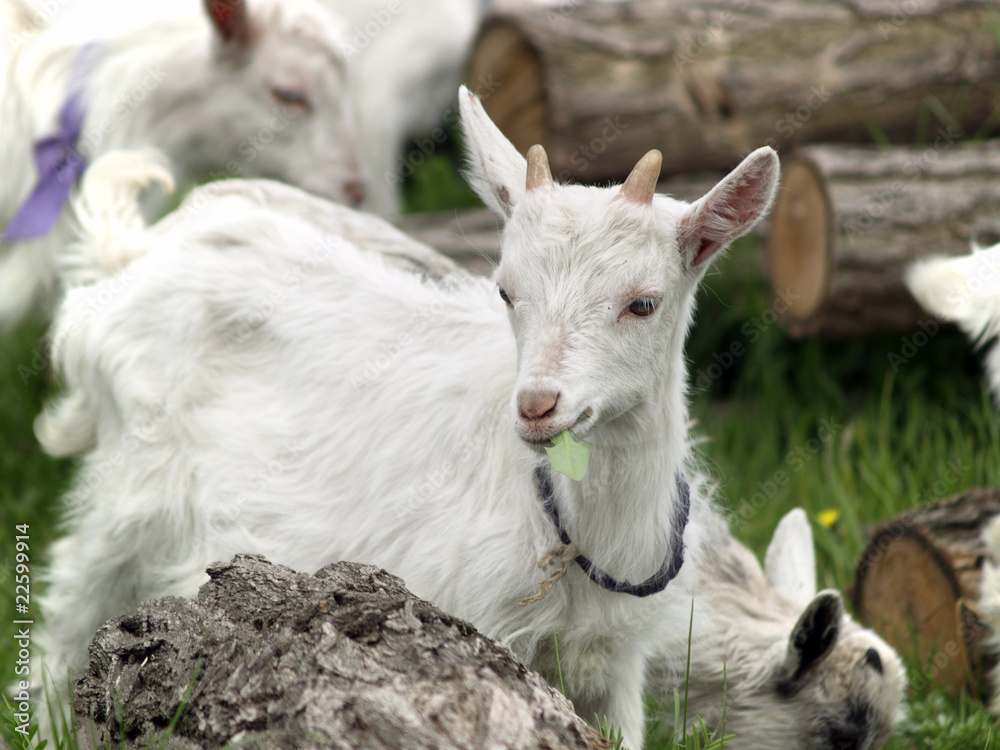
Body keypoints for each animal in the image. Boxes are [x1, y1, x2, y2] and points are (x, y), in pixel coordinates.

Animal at [36, 87, 779, 747]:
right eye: (506, 291)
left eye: (643, 303)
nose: (537, 405)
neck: (582, 531)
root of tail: (133, 257)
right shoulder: (475, 624)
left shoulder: (618, 661)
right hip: (130, 484)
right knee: (72, 597)